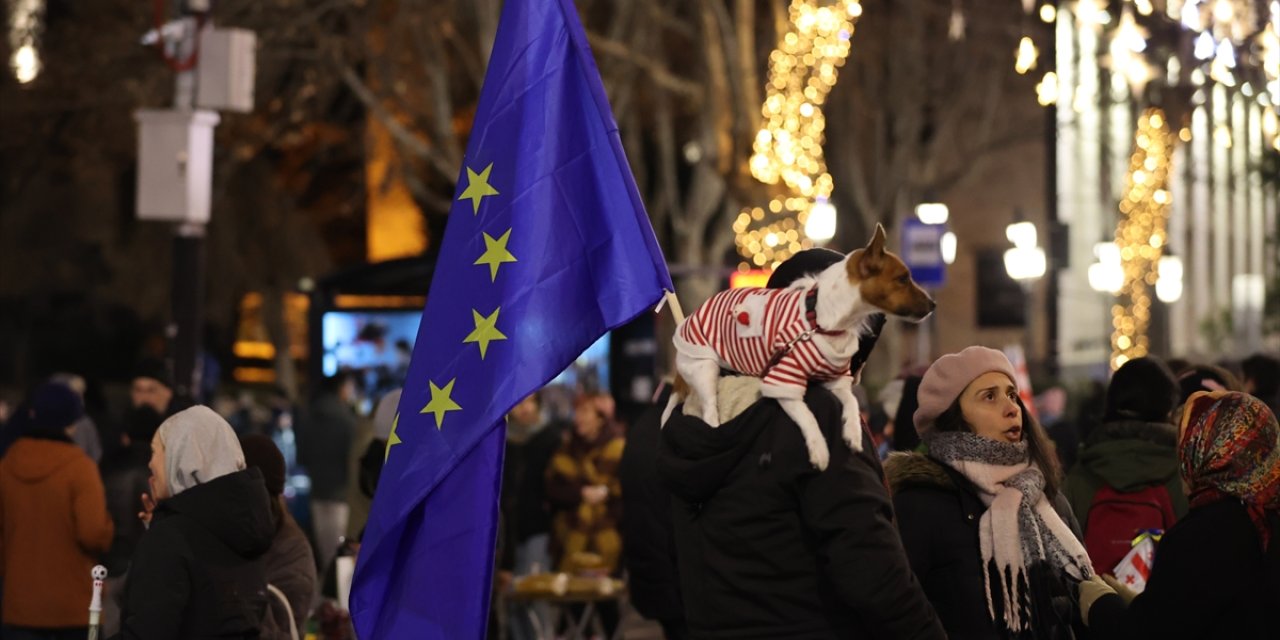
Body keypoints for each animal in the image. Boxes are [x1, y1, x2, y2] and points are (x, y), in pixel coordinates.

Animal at [665, 225, 936, 471]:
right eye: (903, 279)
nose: (933, 304)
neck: (820, 320)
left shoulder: (837, 381)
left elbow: (851, 402)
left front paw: (853, 432)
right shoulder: (782, 382)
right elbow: (809, 417)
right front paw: (820, 450)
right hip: (704, 369)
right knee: (710, 411)